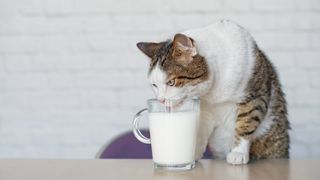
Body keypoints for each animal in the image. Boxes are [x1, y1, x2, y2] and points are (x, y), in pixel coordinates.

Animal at [135, 20, 290, 165]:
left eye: (171, 82)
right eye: (154, 85)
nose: (161, 100)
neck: (214, 91)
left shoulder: (254, 95)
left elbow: (246, 121)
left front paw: (238, 153)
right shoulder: (206, 109)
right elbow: (200, 130)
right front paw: (192, 154)